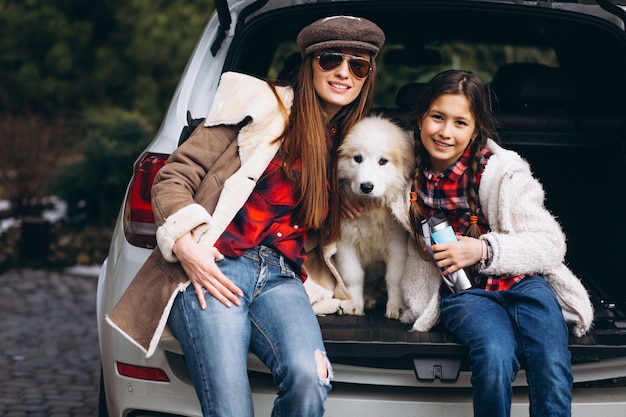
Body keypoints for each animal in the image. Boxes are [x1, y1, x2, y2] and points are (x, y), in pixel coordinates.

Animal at [334, 115, 412, 316]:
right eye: (357, 158)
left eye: (383, 161)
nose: (366, 187)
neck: (370, 207)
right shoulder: (345, 240)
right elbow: (353, 276)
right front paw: (354, 304)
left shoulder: (397, 242)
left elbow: (395, 277)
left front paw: (396, 306)